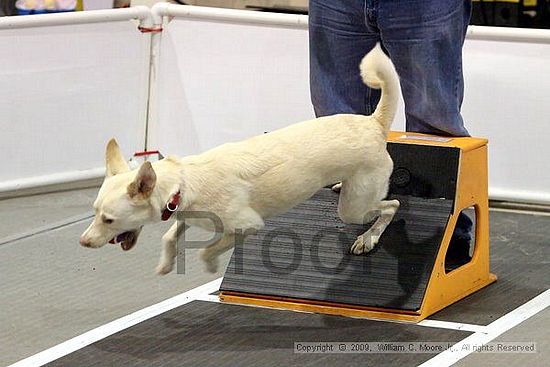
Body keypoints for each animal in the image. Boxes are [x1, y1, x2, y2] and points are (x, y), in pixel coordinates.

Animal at [78, 44, 402, 274]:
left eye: (108, 219)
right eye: (94, 213)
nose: (83, 242)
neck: (183, 184)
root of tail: (373, 123)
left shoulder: (248, 225)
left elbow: (205, 250)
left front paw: (209, 265)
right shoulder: (186, 217)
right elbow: (169, 237)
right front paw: (166, 264)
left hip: (353, 208)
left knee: (391, 206)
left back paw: (369, 238)